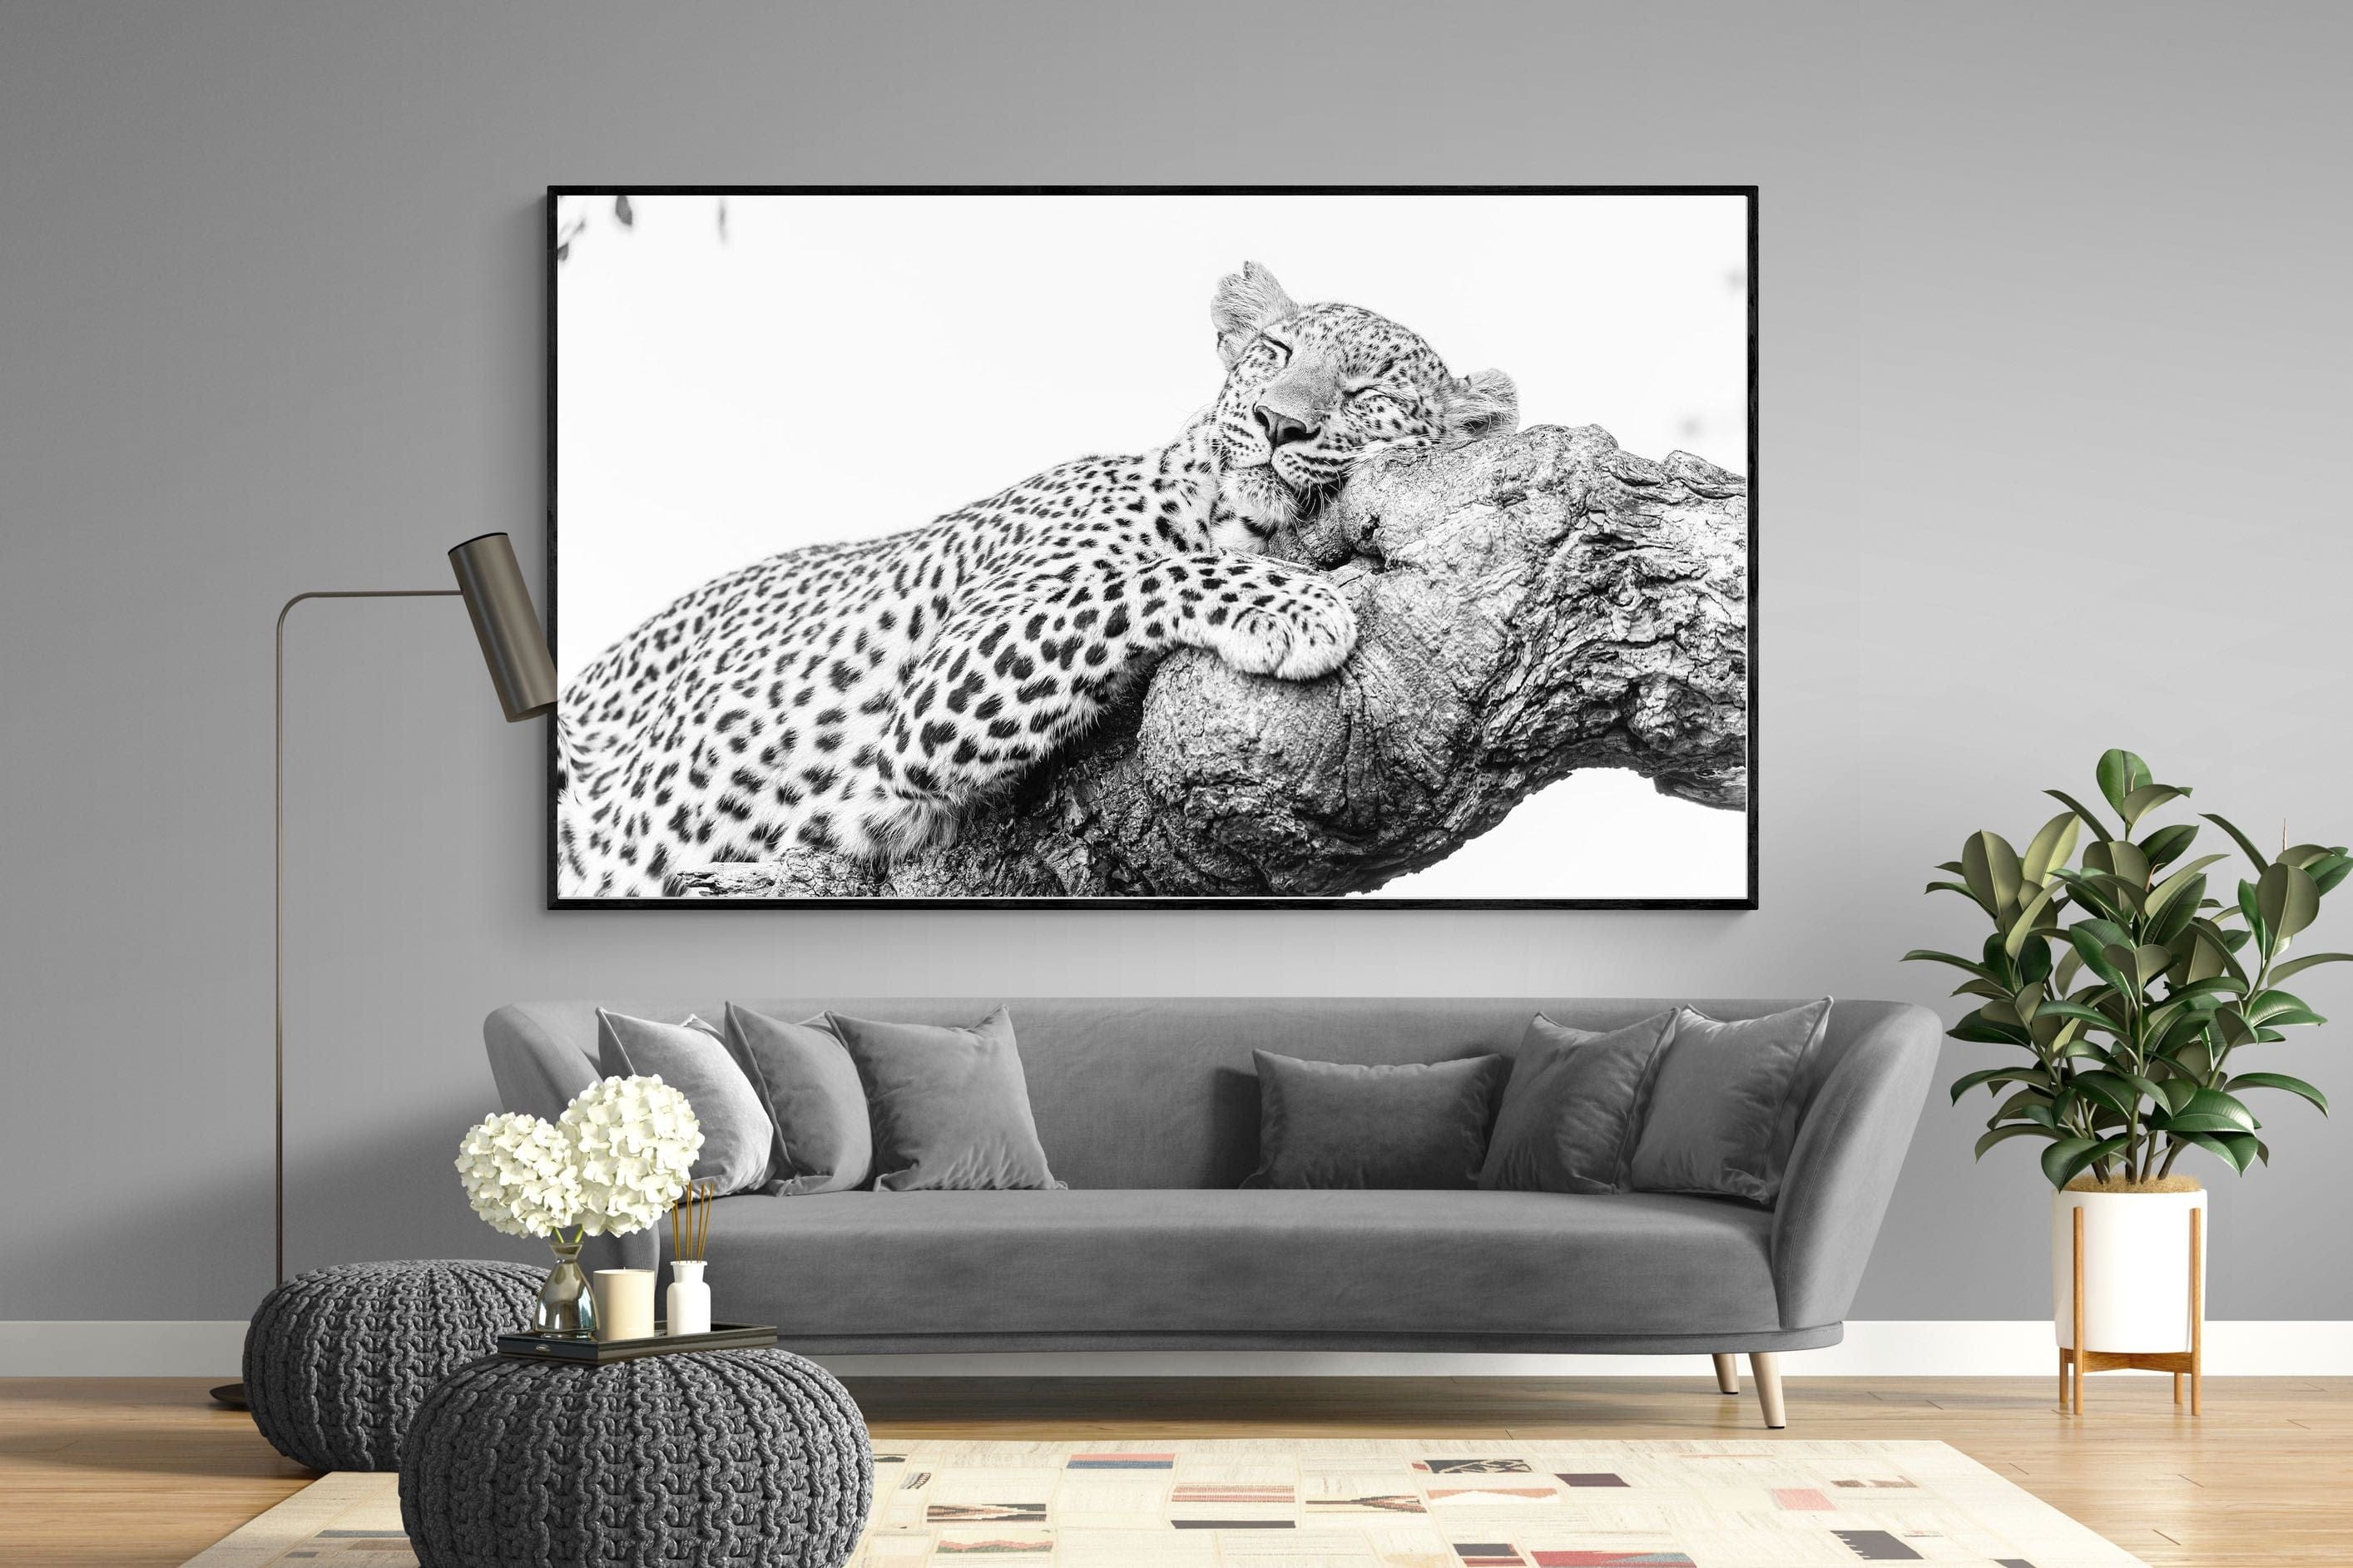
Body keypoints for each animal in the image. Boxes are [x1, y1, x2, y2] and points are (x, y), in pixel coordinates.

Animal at [556, 262, 1518, 897]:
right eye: (1276, 352)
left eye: (1365, 392)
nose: (1277, 423)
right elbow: (1147, 575)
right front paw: (1298, 603)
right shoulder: (937, 693)